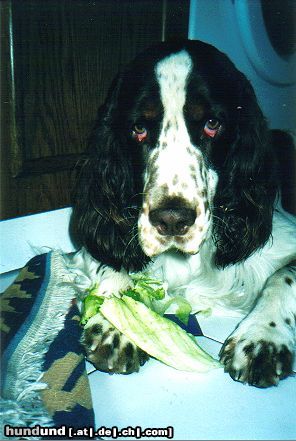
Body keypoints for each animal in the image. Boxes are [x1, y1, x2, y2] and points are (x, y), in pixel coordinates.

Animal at [70, 39, 296, 386]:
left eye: (212, 124)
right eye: (138, 128)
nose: (172, 220)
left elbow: (283, 275)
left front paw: (263, 337)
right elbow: (111, 262)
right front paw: (118, 323)